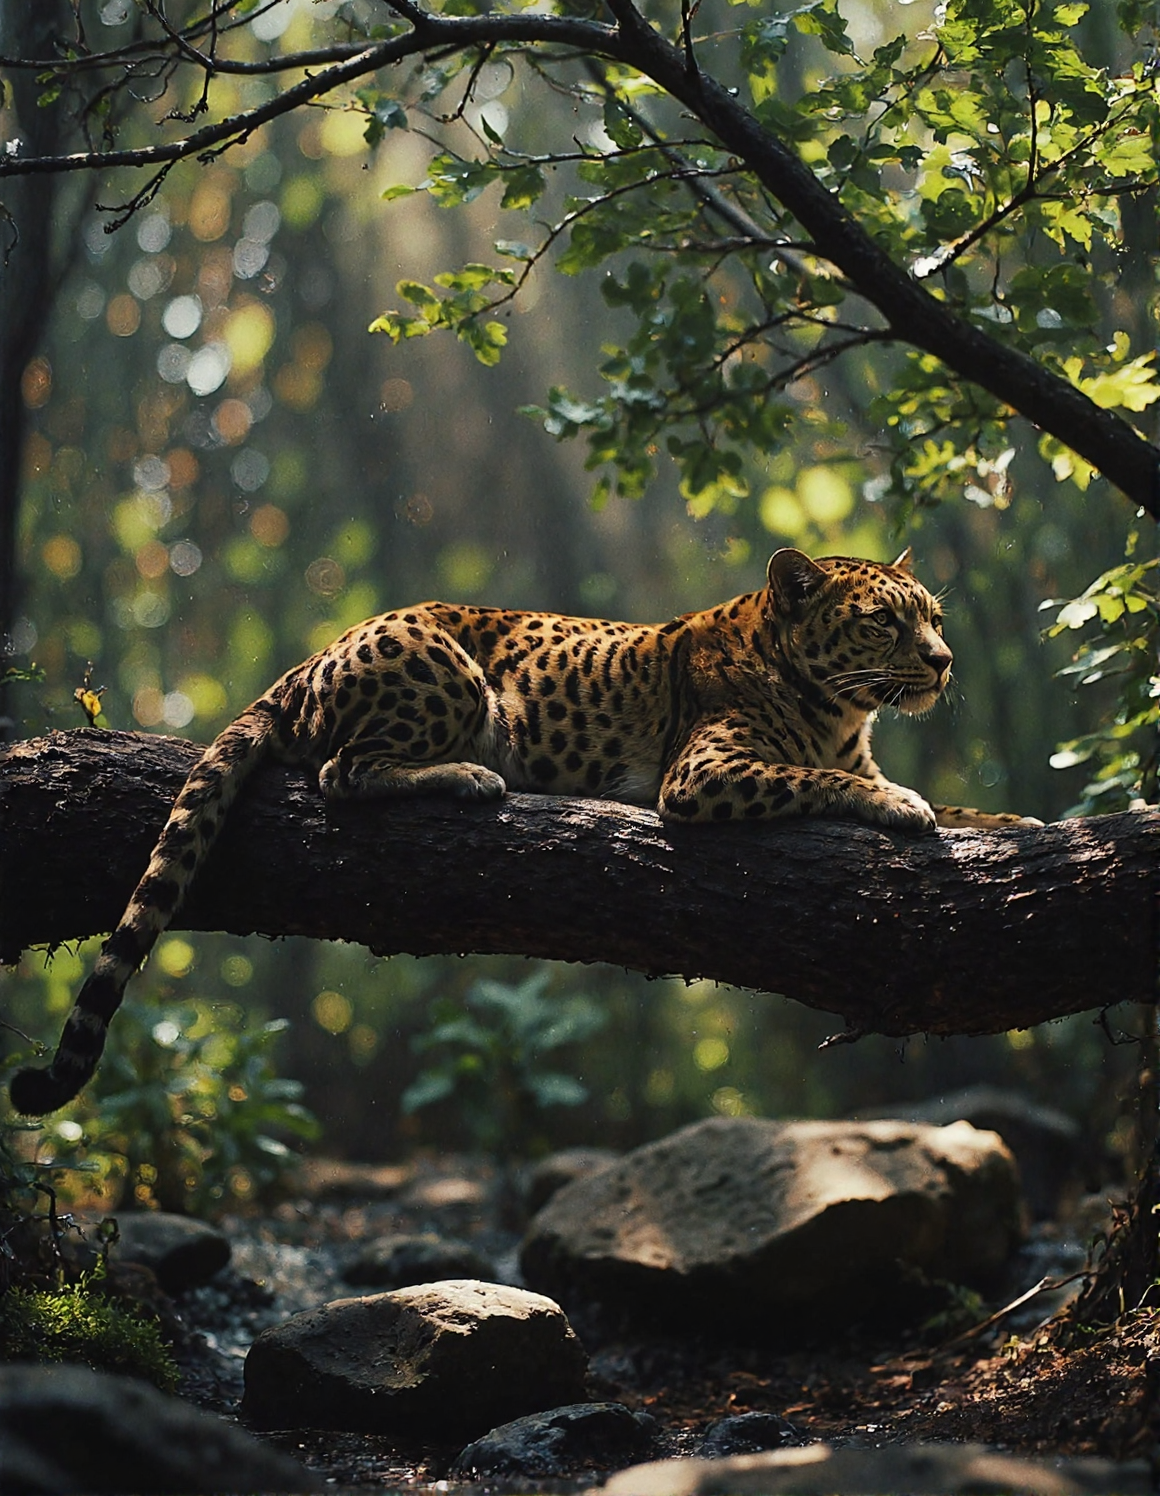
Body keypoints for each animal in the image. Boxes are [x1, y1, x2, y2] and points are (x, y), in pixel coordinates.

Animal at [10, 546, 1040, 1115]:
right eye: (883, 625)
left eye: (933, 618)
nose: (944, 661)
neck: (839, 710)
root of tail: (310, 657)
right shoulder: (704, 777)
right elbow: (823, 781)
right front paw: (903, 808)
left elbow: (952, 804)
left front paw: (1021, 818)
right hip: (447, 674)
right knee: (343, 771)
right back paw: (470, 777)